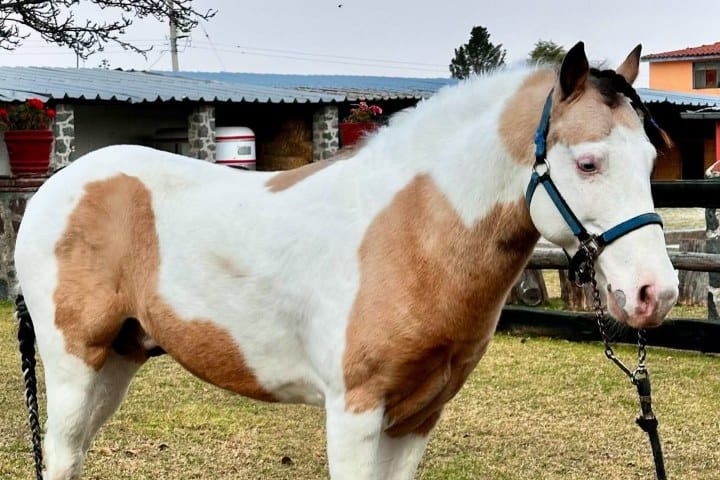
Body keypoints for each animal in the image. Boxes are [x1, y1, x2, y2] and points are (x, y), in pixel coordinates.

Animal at [15, 41, 678, 480]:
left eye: (650, 161)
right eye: (588, 163)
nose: (655, 293)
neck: (407, 235)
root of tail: (54, 188)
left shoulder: (417, 418)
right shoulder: (354, 412)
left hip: (118, 359)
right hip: (75, 364)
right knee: (61, 455)